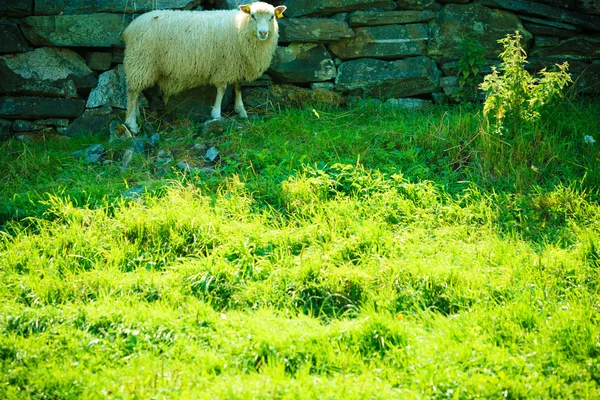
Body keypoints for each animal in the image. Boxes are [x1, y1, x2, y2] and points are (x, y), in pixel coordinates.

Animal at [122, 1, 286, 134]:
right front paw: (216, 114)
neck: (240, 26)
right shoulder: (225, 64)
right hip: (141, 61)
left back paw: (136, 114)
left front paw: (241, 111)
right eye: (252, 16)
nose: (263, 33)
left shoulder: (237, 63)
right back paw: (132, 124)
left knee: (135, 91)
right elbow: (222, 89)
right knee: (132, 91)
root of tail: (130, 28)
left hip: (141, 64)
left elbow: (238, 86)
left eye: (272, 17)